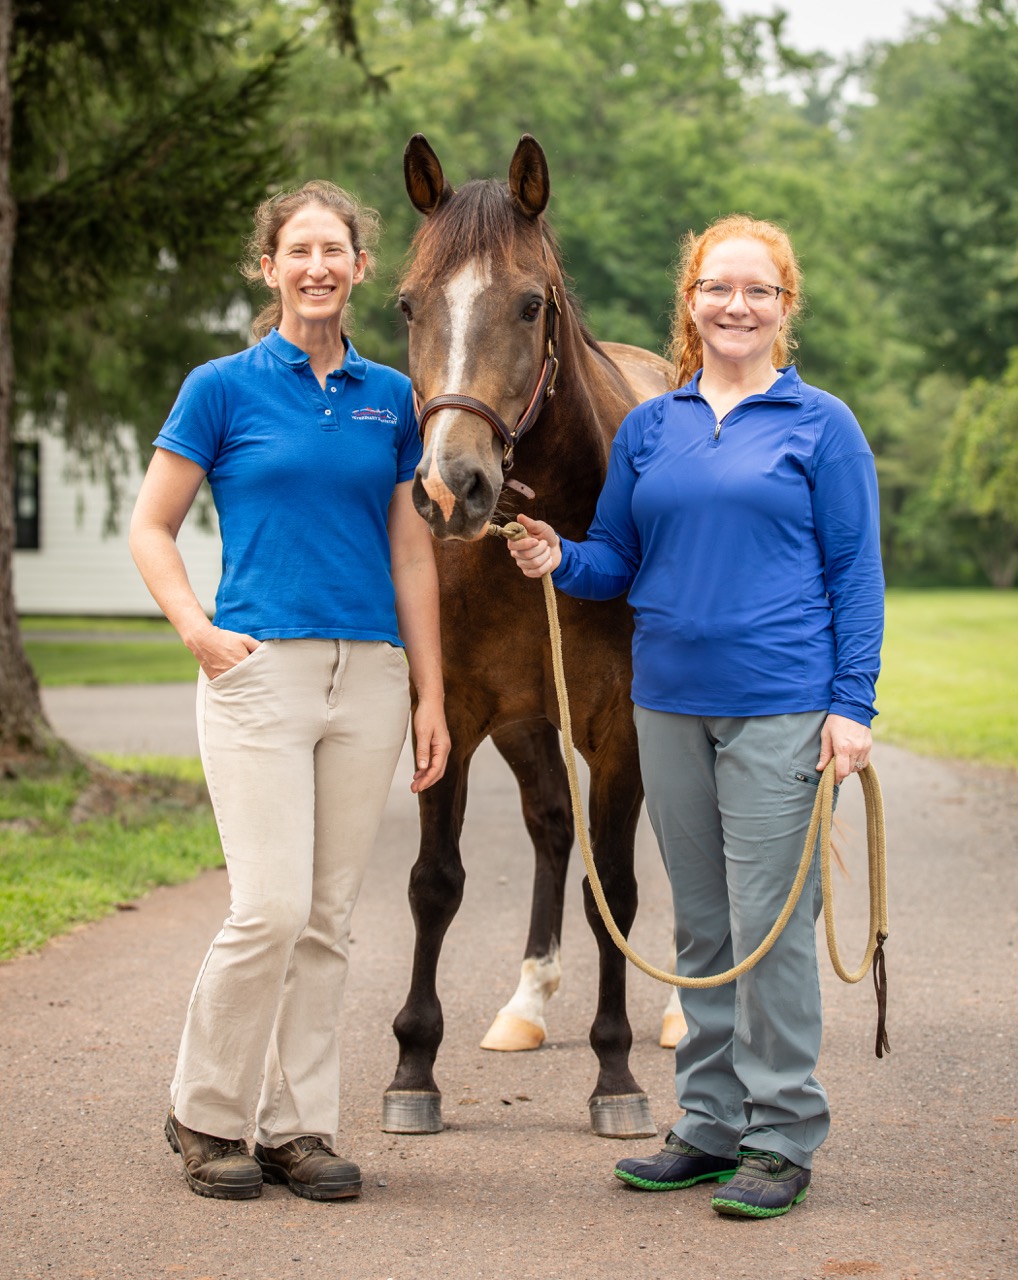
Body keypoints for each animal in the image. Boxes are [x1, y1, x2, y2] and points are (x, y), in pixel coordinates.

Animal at [381, 133, 677, 1139]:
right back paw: (526, 1002)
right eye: (408, 303)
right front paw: (413, 1068)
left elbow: (615, 892)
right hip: (524, 724)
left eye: (530, 303)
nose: (451, 488)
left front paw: (615, 1076)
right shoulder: (455, 714)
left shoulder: (623, 731)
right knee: (551, 827)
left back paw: (679, 1013)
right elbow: (435, 881)